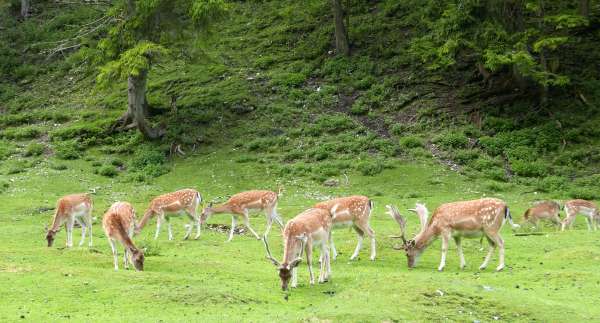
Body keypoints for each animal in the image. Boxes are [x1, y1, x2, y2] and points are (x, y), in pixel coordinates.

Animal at [386, 199, 516, 272]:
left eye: (407, 253)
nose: (410, 266)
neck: (436, 226)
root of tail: (506, 207)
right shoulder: (456, 235)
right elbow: (459, 248)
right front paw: (463, 265)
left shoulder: (446, 230)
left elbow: (444, 248)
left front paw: (440, 267)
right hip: (487, 231)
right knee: (493, 245)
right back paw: (482, 266)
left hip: (491, 228)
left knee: (501, 242)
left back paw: (500, 267)